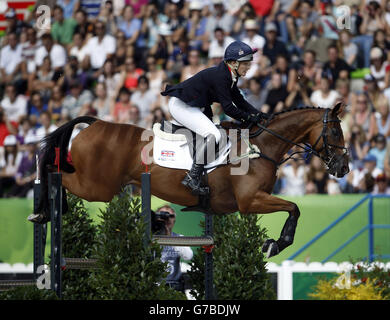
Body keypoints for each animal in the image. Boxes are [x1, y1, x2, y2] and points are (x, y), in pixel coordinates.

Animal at [30, 104, 348, 258]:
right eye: (335, 133)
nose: (343, 168)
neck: (262, 146)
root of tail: (95, 123)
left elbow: (293, 208)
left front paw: (274, 243)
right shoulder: (250, 201)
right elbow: (294, 207)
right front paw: (276, 244)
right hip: (97, 188)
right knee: (54, 173)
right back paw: (44, 210)